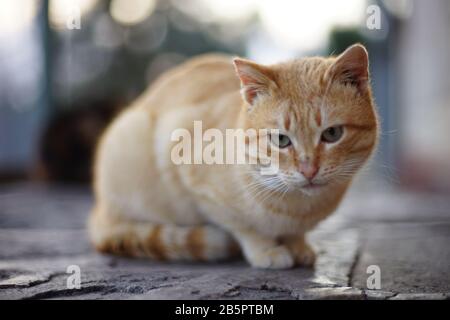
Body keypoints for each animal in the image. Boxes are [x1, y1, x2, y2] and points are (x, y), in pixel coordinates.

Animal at [88, 43, 376, 268]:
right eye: (281, 140)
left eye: (332, 134)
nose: (308, 170)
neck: (297, 207)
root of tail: (100, 210)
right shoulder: (196, 186)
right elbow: (245, 228)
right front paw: (266, 250)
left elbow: (295, 234)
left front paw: (298, 245)